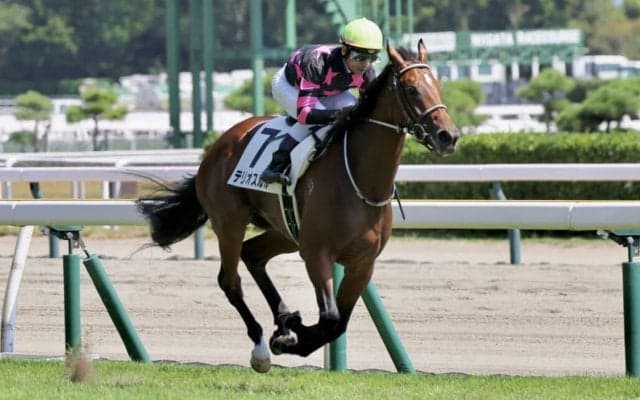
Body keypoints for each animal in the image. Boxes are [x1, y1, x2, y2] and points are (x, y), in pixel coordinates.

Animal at [137, 39, 459, 372]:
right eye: (411, 89)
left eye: (438, 86)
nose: (448, 136)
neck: (360, 179)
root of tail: (218, 144)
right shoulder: (317, 254)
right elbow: (329, 318)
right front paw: (289, 335)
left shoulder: (363, 263)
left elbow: (338, 323)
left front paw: (290, 328)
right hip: (230, 221)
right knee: (230, 280)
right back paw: (261, 347)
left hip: (287, 231)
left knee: (252, 254)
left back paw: (282, 316)